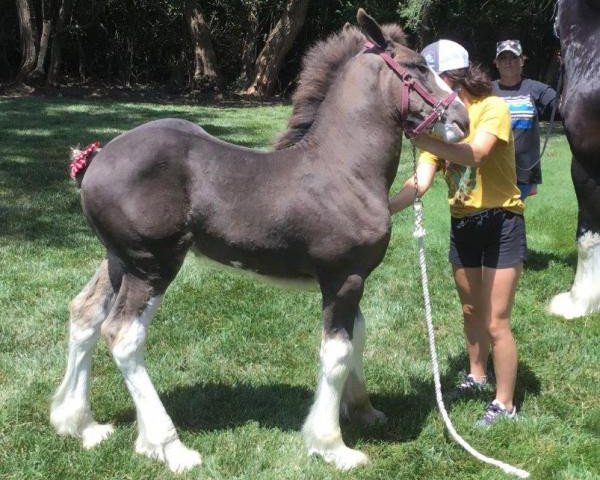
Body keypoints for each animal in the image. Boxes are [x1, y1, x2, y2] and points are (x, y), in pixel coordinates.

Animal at [50, 8, 468, 472]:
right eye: (418, 67)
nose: (463, 119)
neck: (343, 169)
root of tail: (94, 161)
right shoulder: (343, 278)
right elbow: (337, 353)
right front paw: (332, 445)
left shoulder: (353, 279)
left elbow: (357, 335)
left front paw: (362, 410)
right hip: (152, 265)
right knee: (123, 335)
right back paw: (168, 446)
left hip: (118, 260)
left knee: (85, 314)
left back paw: (80, 424)